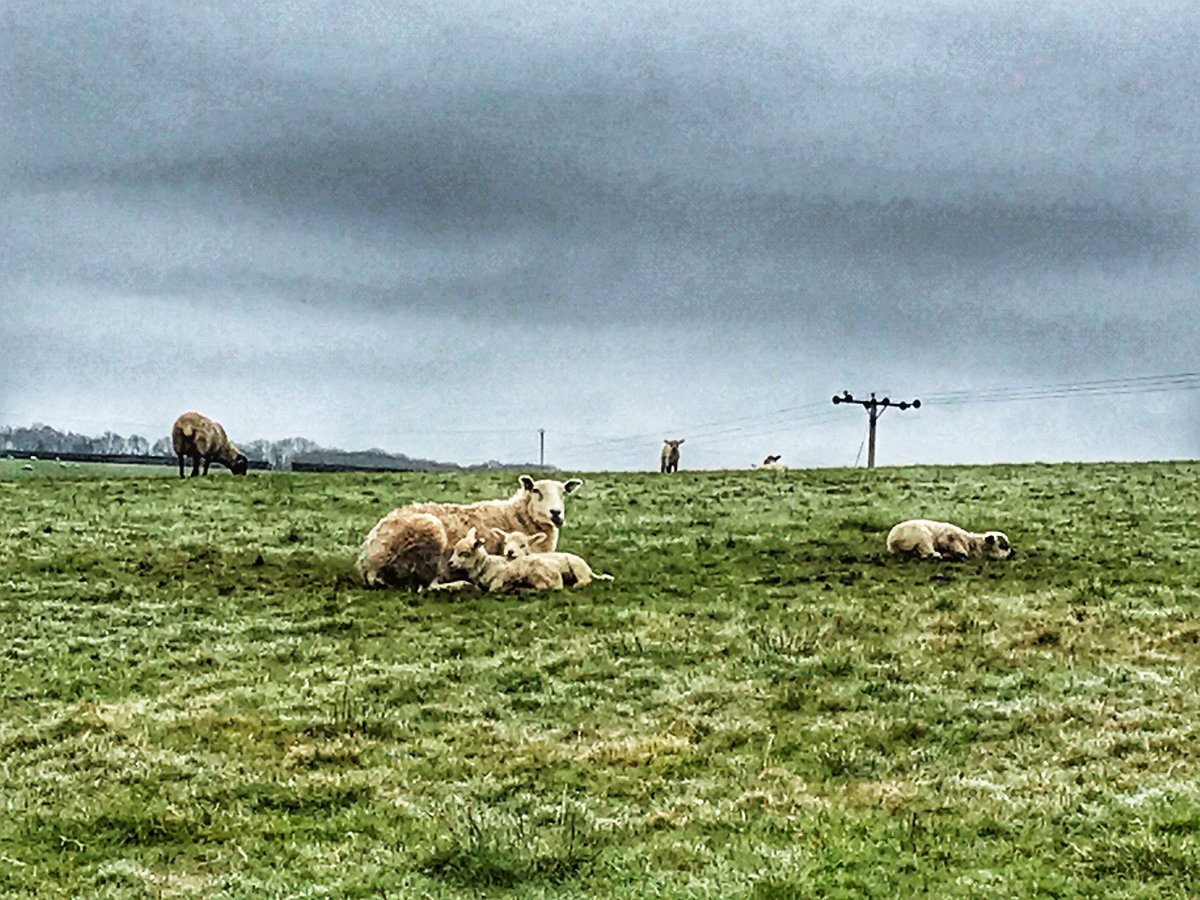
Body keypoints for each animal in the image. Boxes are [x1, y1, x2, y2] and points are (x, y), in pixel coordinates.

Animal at [356, 474, 584, 590]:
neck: (517, 516)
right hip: (430, 534)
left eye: (563, 493)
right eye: (536, 490)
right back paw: (461, 584)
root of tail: (368, 561)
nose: (556, 514)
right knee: (425, 585)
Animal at [886, 519, 1015, 561]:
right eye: (1003, 545)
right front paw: (960, 553)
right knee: (927, 551)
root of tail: (892, 540)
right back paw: (937, 555)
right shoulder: (947, 536)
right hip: (923, 535)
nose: (1012, 554)